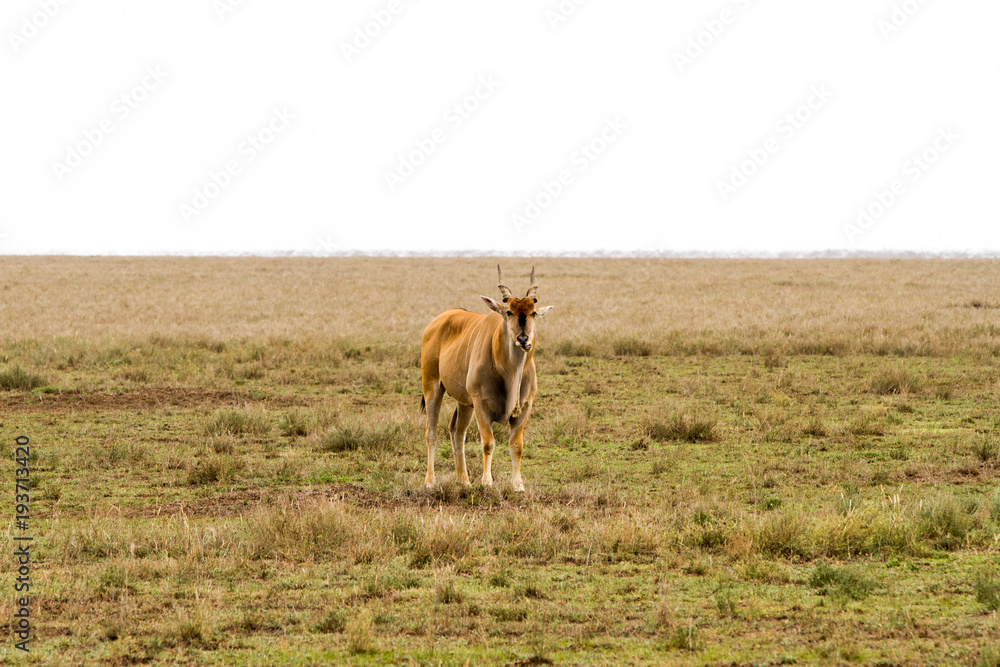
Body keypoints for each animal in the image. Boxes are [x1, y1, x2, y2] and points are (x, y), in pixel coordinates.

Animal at [416, 264, 552, 490]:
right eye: (508, 312)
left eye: (533, 313)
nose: (523, 339)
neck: (509, 372)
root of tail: (436, 322)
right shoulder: (481, 405)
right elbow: (488, 443)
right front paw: (487, 482)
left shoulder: (525, 408)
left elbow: (517, 446)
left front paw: (518, 485)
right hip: (432, 386)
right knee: (431, 432)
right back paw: (430, 482)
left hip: (464, 403)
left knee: (456, 432)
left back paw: (464, 481)